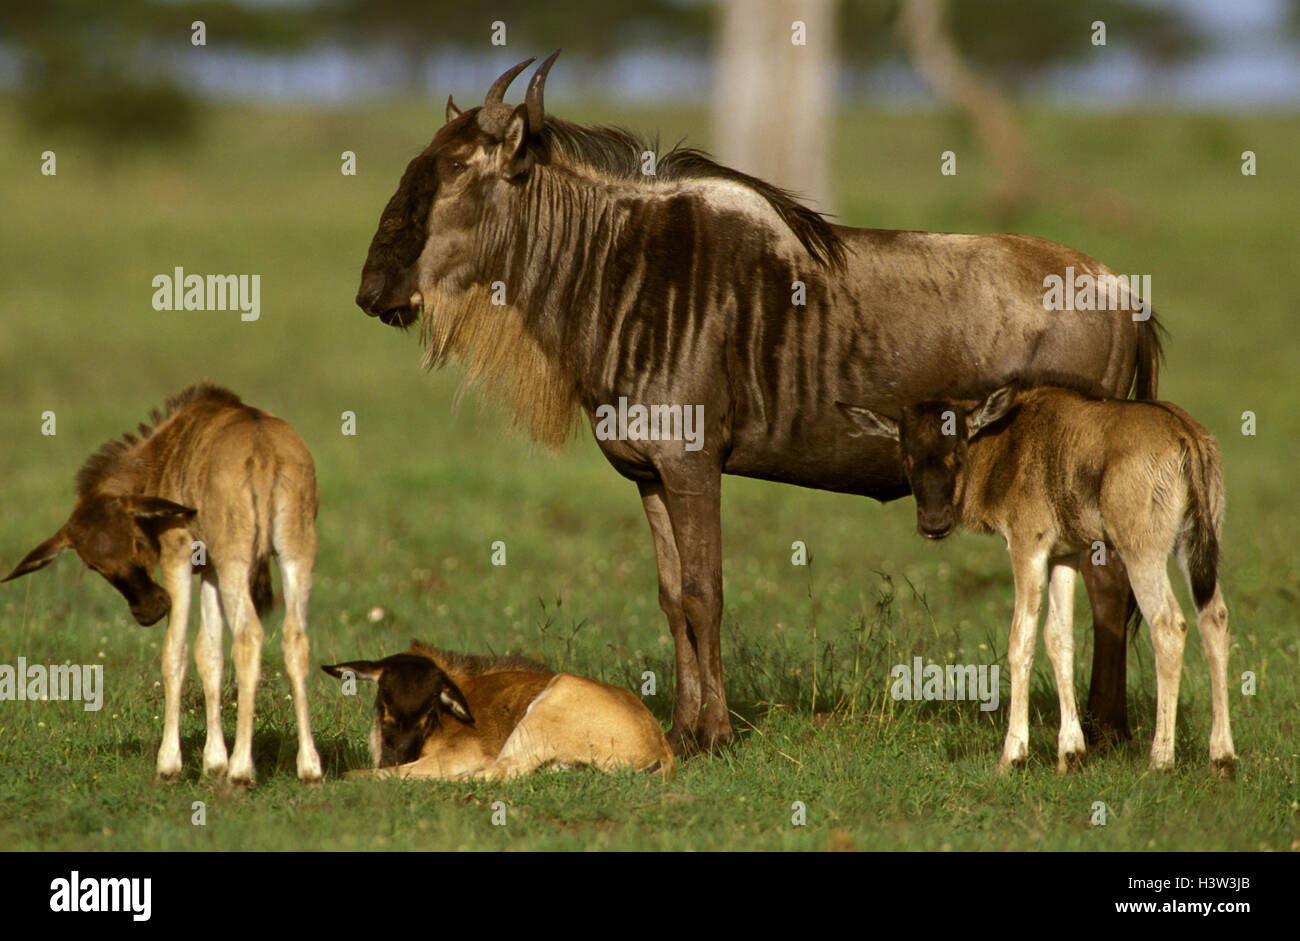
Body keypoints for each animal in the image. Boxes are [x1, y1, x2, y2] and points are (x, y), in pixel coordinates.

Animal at [5, 384, 319, 785]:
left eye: (138, 540)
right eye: (92, 564)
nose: (149, 609)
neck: (168, 448)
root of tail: (265, 453)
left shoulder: (179, 558)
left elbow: (175, 652)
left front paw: (170, 764)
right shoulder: (211, 571)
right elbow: (209, 653)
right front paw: (213, 762)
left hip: (237, 561)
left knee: (249, 636)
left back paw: (241, 771)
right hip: (295, 555)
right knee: (296, 640)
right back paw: (309, 767)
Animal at [322, 639, 681, 779]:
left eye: (431, 705)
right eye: (384, 695)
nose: (395, 754)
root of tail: (659, 746)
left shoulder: (465, 751)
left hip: (539, 719)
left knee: (498, 773)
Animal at [837, 382, 1232, 779]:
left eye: (958, 452)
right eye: (907, 453)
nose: (934, 523)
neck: (1009, 440)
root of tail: (1184, 434)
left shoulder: (1028, 546)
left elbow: (1021, 640)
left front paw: (1012, 756)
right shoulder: (1064, 555)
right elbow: (1059, 640)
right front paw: (1069, 754)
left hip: (1141, 550)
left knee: (1168, 625)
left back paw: (1161, 759)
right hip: (1196, 544)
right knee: (1214, 618)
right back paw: (1222, 756)